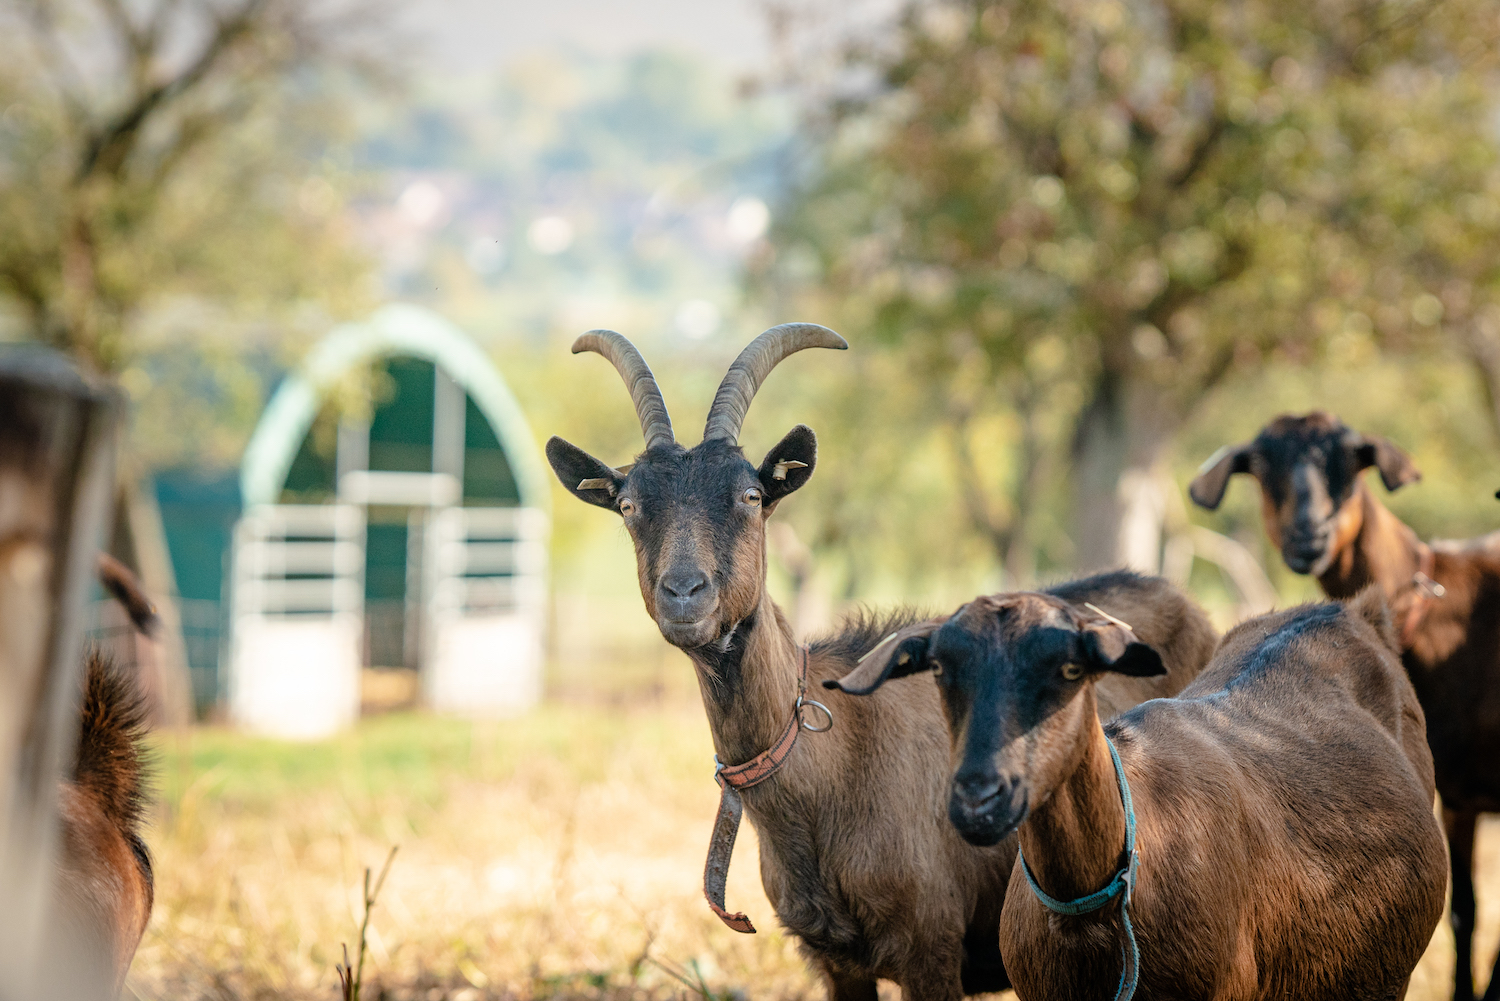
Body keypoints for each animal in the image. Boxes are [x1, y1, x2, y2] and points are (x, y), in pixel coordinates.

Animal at [546, 325, 1212, 996]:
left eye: (752, 495)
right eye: (629, 506)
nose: (685, 593)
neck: (827, 770)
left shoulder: (932, 949)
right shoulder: (832, 958)